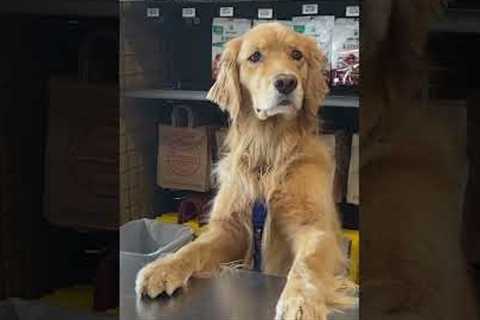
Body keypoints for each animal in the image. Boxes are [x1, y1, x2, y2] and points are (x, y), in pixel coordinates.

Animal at [136, 23, 356, 320]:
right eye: (255, 57)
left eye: (296, 54)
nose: (286, 82)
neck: (269, 150)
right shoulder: (230, 231)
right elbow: (192, 248)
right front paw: (162, 268)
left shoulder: (314, 229)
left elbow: (306, 265)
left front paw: (300, 300)